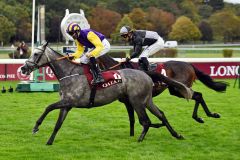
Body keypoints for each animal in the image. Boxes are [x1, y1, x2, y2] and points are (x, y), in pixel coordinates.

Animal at [21, 42, 186, 145]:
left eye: (36, 54)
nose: (23, 68)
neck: (69, 73)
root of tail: (145, 73)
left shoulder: (69, 101)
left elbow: (48, 107)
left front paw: (36, 127)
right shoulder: (66, 105)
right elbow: (57, 124)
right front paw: (49, 141)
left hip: (137, 101)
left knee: (146, 121)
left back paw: (140, 139)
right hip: (146, 100)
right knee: (161, 114)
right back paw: (176, 134)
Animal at [97, 54, 227, 123]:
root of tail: (189, 64)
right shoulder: (128, 101)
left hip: (178, 88)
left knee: (197, 95)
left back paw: (204, 116)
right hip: (175, 90)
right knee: (198, 95)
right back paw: (205, 116)